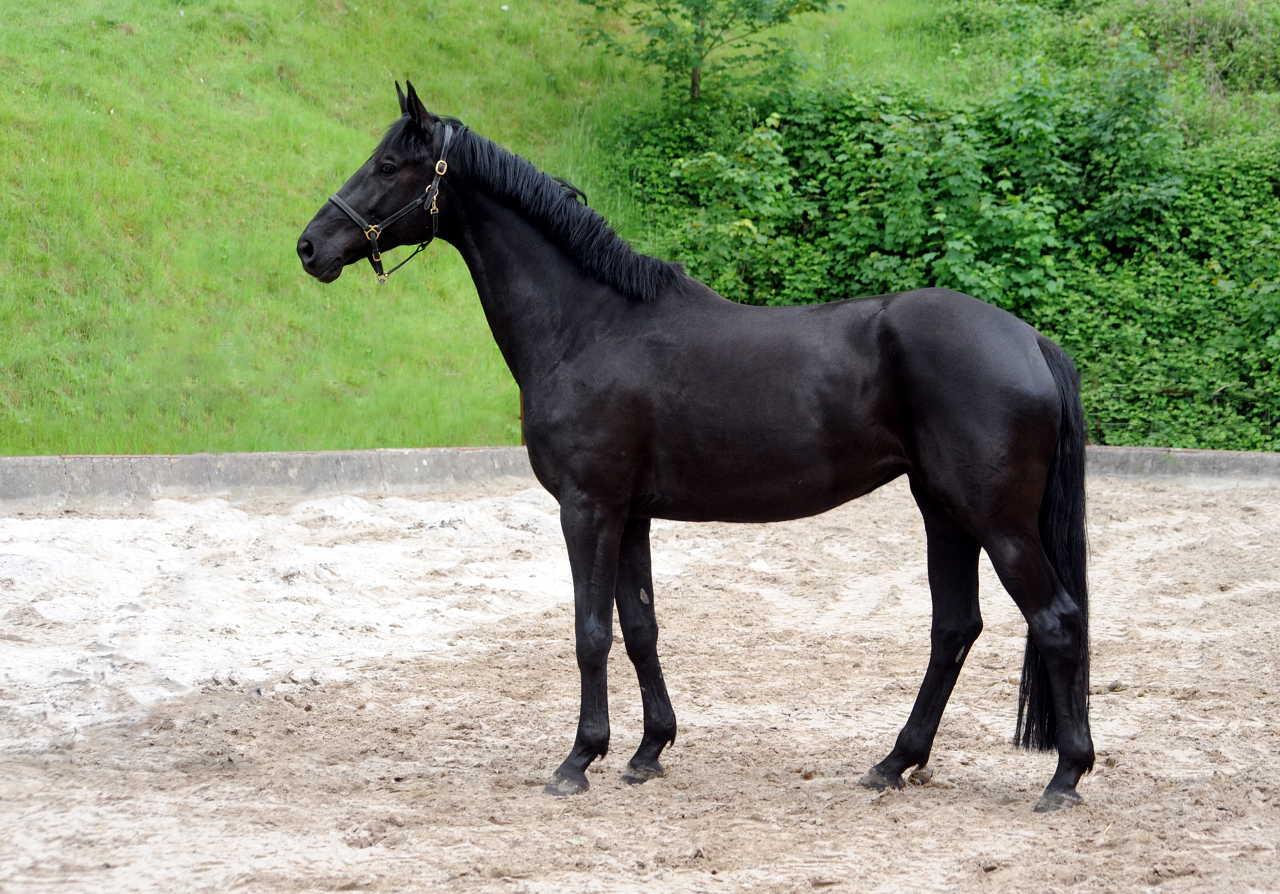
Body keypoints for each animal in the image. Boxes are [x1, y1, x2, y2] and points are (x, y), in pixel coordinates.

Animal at [294, 81, 1095, 809]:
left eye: (390, 164)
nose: (309, 247)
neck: (590, 325)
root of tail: (1029, 339)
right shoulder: (631, 514)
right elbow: (641, 626)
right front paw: (648, 750)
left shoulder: (588, 509)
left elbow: (591, 631)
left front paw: (578, 760)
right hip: (943, 512)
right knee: (954, 628)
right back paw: (894, 763)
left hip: (995, 520)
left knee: (1055, 620)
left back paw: (1064, 776)